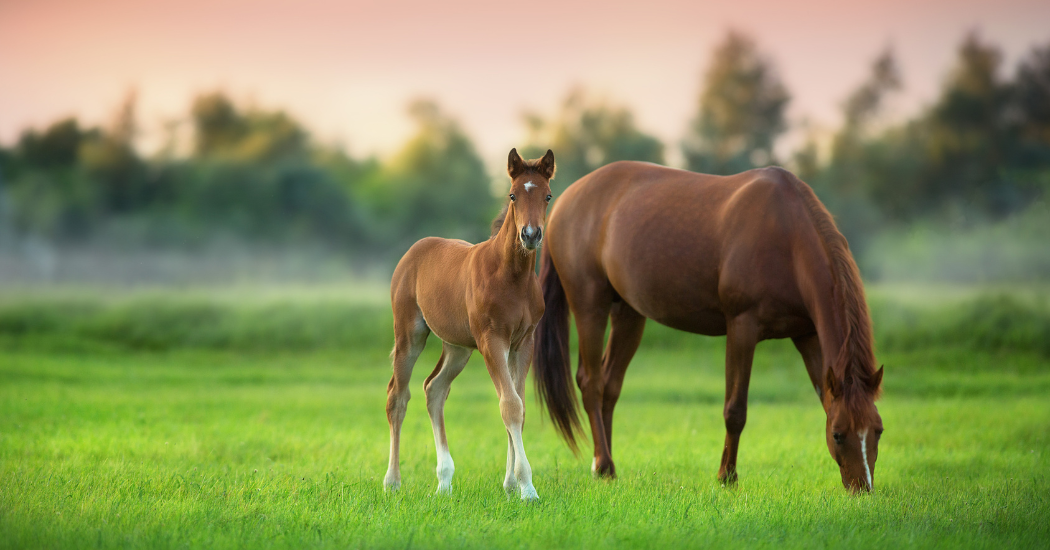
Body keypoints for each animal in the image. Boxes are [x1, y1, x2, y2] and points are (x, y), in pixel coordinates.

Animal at [383, 148, 556, 500]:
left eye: (547, 195)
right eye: (513, 195)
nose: (530, 235)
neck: (511, 277)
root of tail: (414, 250)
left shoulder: (523, 342)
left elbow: (518, 406)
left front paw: (511, 485)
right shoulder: (492, 340)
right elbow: (509, 406)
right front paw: (528, 488)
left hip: (457, 347)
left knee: (434, 389)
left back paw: (444, 481)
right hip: (410, 334)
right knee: (398, 397)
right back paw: (392, 482)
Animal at [533, 161, 884, 492]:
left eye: (878, 431)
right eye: (838, 435)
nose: (862, 488)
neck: (787, 236)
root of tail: (564, 200)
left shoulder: (807, 335)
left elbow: (823, 399)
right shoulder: (742, 327)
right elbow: (735, 410)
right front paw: (727, 477)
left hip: (629, 314)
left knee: (610, 384)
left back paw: (604, 466)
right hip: (589, 305)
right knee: (591, 382)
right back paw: (603, 464)